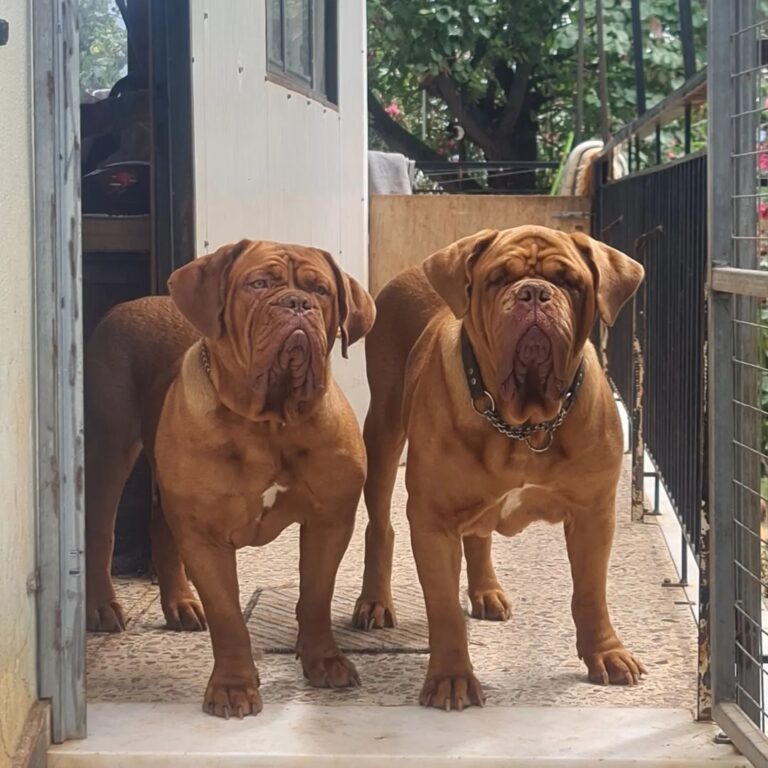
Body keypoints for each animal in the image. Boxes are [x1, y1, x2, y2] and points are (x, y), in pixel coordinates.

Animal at [87, 238, 376, 712]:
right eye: (257, 284)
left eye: (320, 291)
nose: (297, 304)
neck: (269, 422)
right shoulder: (205, 535)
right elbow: (228, 615)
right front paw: (233, 686)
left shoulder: (329, 521)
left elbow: (316, 596)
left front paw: (323, 661)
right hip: (109, 449)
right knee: (100, 529)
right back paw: (101, 607)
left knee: (160, 527)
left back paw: (181, 604)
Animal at [356, 225, 648, 712]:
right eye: (497, 279)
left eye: (569, 281)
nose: (533, 293)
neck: (523, 421)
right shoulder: (432, 520)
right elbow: (444, 608)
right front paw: (451, 678)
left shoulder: (593, 513)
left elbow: (591, 592)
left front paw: (606, 653)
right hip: (381, 434)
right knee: (380, 527)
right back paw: (374, 603)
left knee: (478, 535)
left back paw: (486, 591)